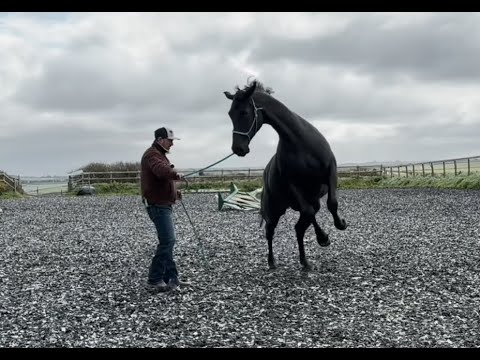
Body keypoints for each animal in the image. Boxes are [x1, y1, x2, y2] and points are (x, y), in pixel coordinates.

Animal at [223, 79, 346, 270]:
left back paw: (304, 262)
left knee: (299, 228)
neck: (299, 141)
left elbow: (332, 203)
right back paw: (272, 262)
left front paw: (340, 224)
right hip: (274, 209)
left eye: (243, 112)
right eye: (230, 114)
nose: (238, 149)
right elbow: (309, 212)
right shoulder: (294, 184)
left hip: (311, 201)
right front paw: (323, 238)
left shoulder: (330, 172)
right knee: (270, 230)